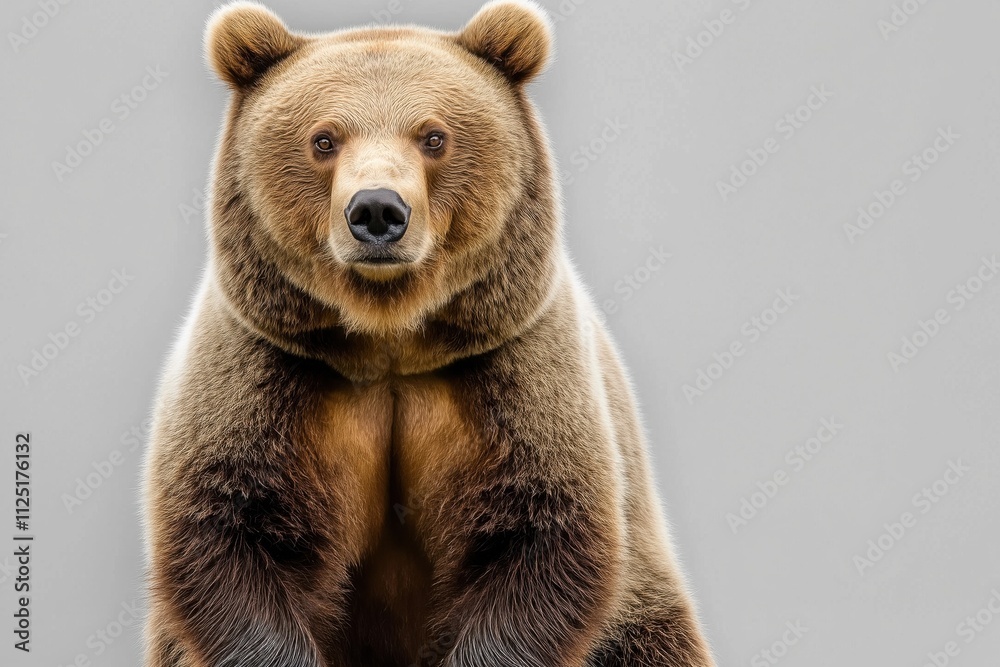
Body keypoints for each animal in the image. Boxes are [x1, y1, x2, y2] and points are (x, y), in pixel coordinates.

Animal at [141, 2, 716, 666]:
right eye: (323, 139)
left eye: (434, 136)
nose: (376, 211)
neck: (389, 341)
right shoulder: (268, 368)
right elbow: (233, 527)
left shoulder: (513, 371)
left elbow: (539, 535)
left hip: (643, 615)